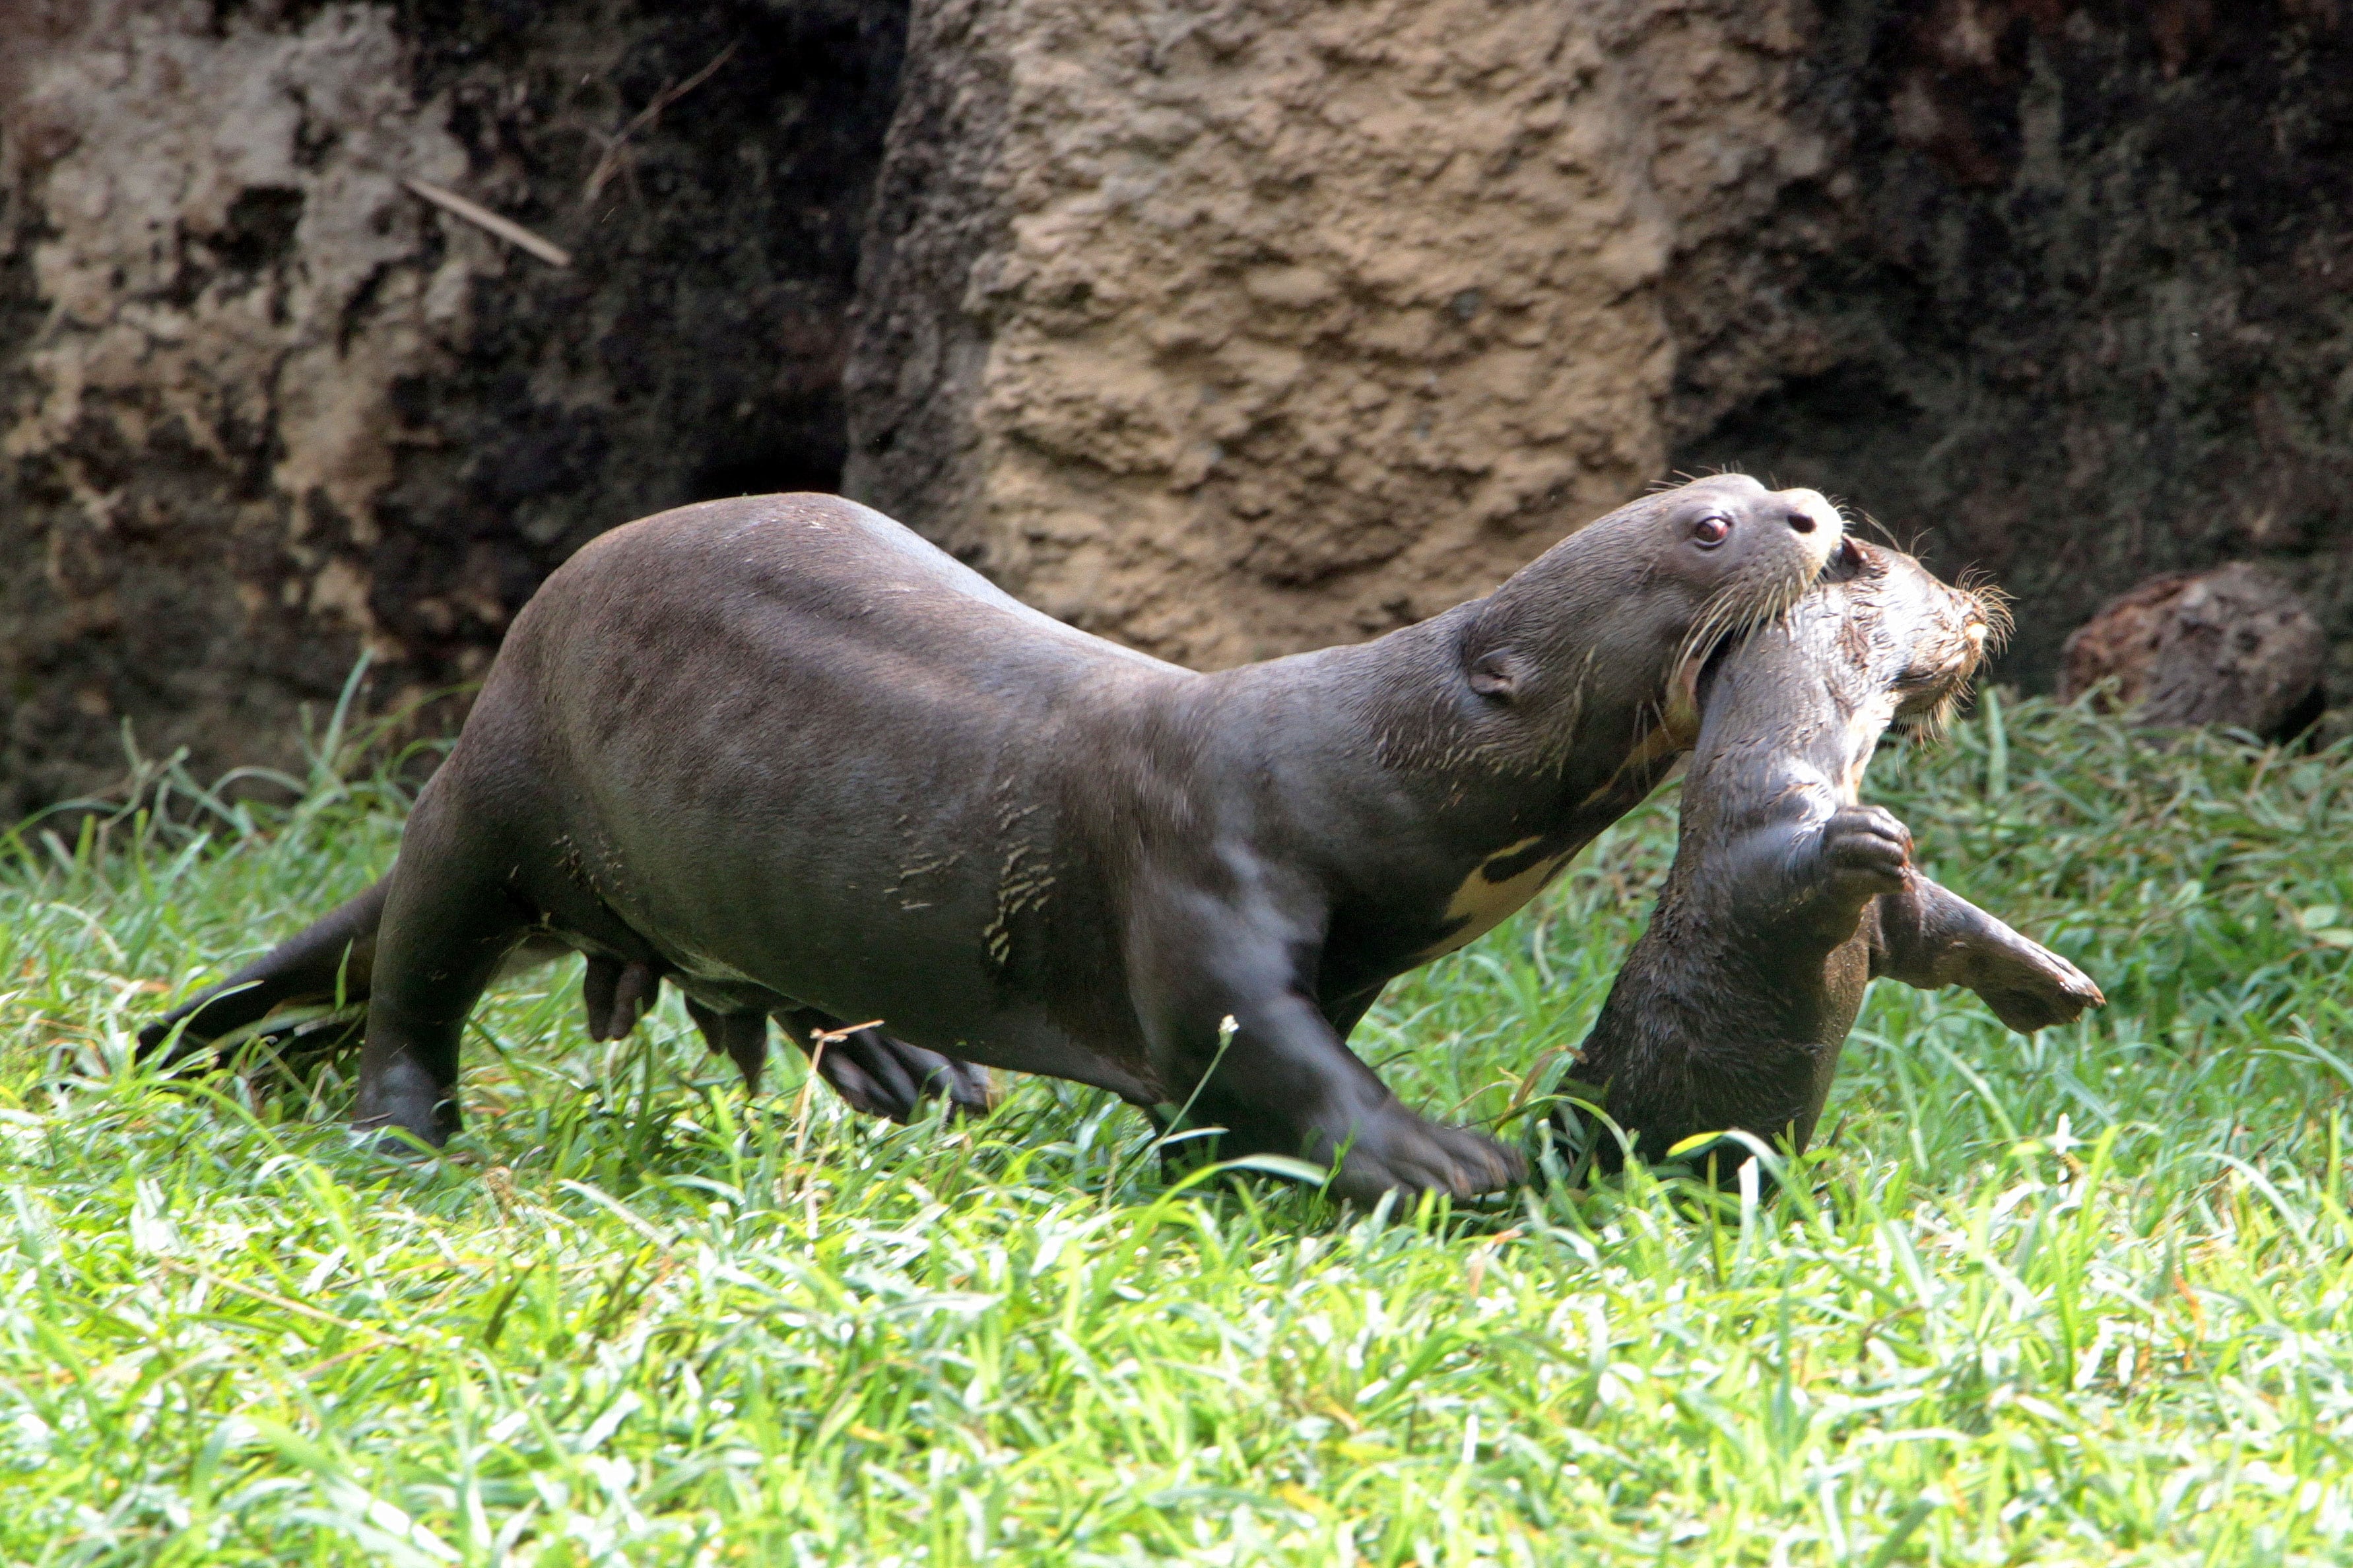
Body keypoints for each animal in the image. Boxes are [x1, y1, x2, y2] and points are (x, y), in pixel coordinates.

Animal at [147, 475, 1844, 1196]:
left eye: (1749, 484)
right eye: (1706, 526)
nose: (1815, 510)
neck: (1341, 766)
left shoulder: (1345, 948)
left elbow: (1236, 1082)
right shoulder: (1201, 870)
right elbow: (1260, 1042)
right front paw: (1433, 1156)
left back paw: (905, 1068)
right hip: (499, 787)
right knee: (421, 963)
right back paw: (399, 1133)